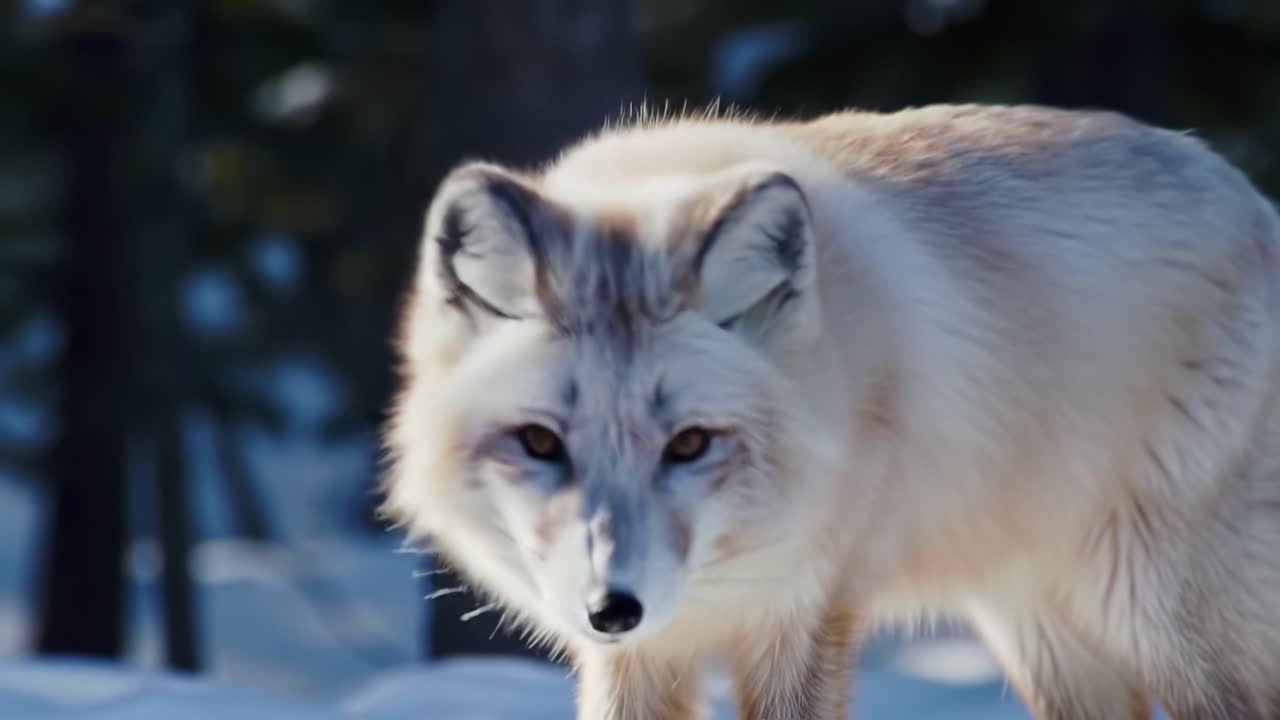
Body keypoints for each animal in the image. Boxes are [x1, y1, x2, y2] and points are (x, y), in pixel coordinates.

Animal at [379, 103, 1280, 720]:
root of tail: (1251, 196)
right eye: (540, 442)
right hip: (1041, 631)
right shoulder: (640, 656)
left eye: (690, 443)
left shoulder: (804, 610)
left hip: (1161, 617)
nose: (612, 606)